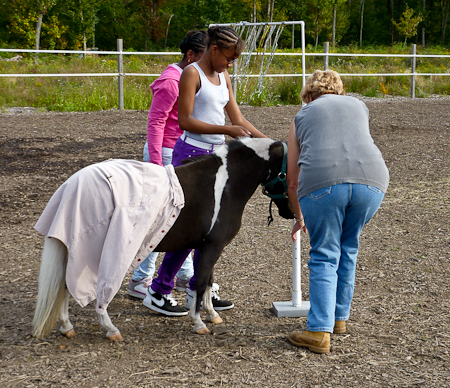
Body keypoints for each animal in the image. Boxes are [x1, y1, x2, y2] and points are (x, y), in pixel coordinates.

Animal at [30, 136, 292, 340]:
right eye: (289, 172)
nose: (291, 212)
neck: (224, 185)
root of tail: (72, 184)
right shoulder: (212, 247)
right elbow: (200, 282)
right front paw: (199, 322)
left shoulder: (208, 247)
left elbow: (207, 280)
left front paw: (212, 314)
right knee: (84, 287)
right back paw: (109, 329)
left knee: (65, 285)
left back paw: (67, 327)